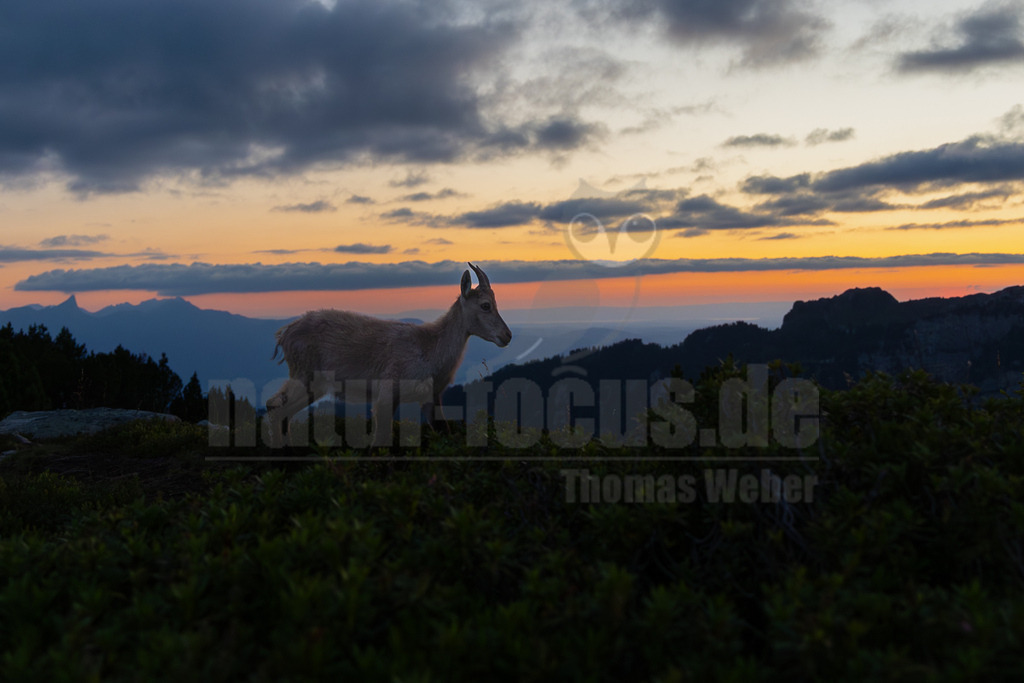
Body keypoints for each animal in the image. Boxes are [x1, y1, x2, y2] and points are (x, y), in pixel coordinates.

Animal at [266, 262, 512, 446]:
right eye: (486, 305)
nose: (507, 335)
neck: (429, 348)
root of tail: (285, 333)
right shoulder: (387, 392)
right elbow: (381, 440)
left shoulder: (431, 398)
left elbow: (444, 431)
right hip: (304, 375)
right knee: (275, 406)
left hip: (314, 385)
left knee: (280, 409)